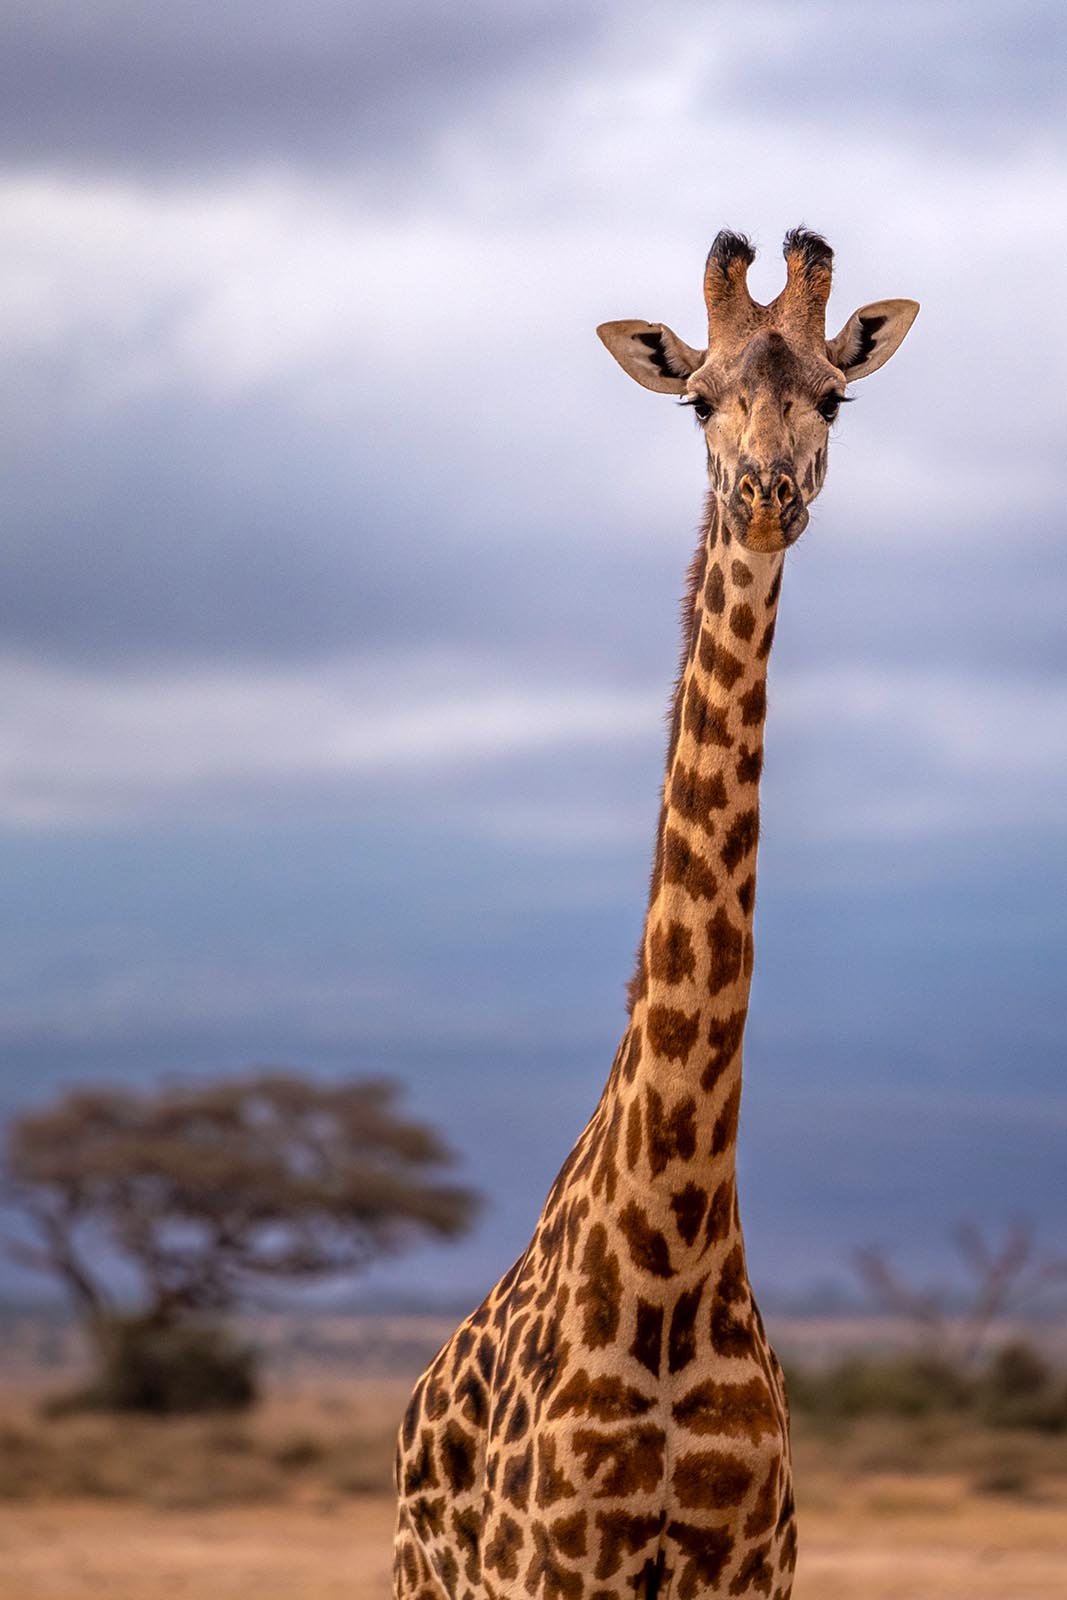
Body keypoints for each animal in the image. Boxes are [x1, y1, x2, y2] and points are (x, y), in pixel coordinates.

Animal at [393, 228, 918, 1600]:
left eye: (832, 397)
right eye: (696, 399)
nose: (766, 494)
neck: (674, 1248)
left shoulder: (749, 1569)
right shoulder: (549, 1567)